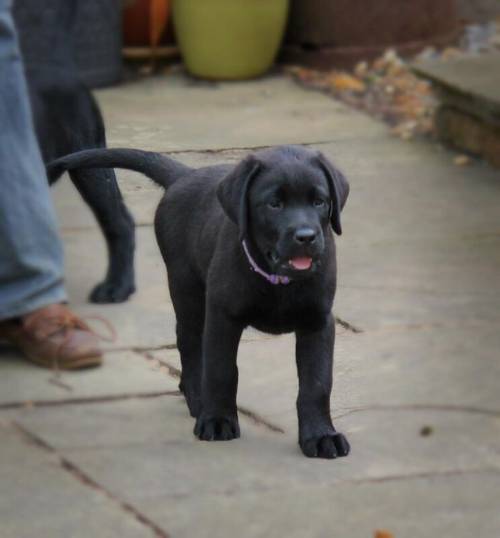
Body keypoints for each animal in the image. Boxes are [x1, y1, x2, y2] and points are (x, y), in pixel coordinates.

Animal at [48, 143, 350, 456]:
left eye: (319, 201)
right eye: (274, 204)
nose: (306, 236)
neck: (279, 281)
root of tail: (184, 176)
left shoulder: (318, 322)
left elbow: (316, 383)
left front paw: (320, 435)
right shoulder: (222, 317)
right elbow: (221, 370)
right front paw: (217, 420)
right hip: (186, 291)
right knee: (190, 345)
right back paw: (199, 400)